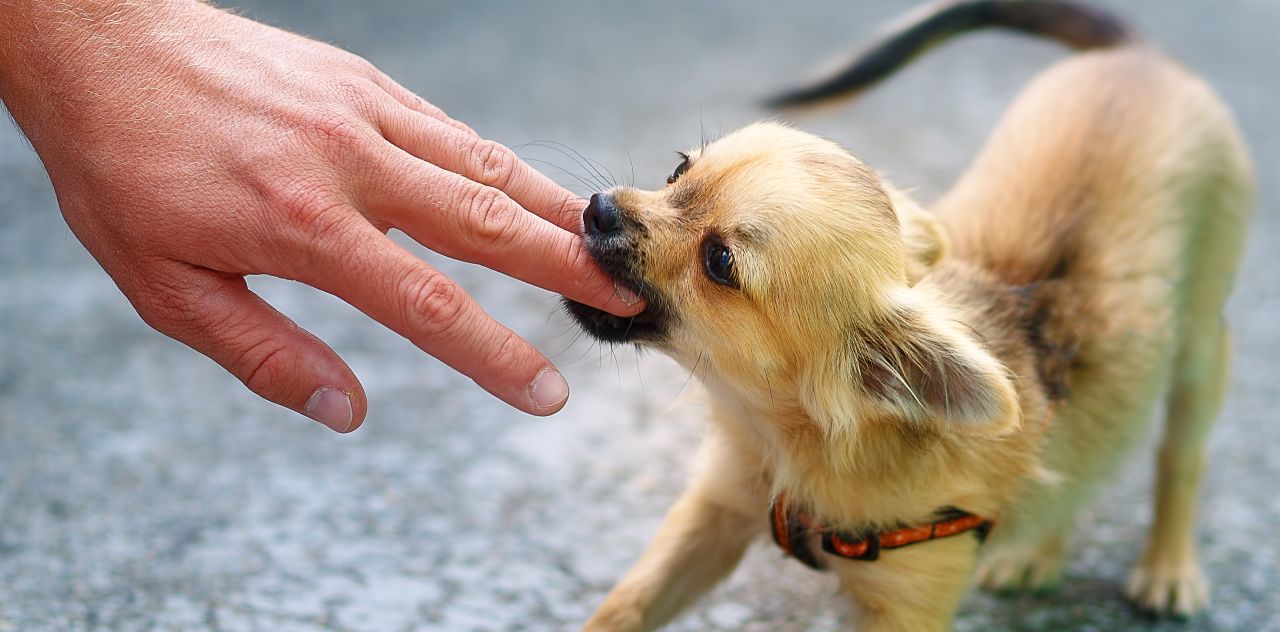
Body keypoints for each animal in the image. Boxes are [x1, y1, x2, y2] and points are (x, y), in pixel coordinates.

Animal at [565, 2, 1254, 629]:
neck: (791, 442)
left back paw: (1168, 567)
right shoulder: (715, 512)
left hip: (1201, 348)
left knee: (1181, 456)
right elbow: (623, 609)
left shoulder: (907, 605)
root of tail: (1141, 58)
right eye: (678, 170)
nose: (598, 209)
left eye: (720, 262)